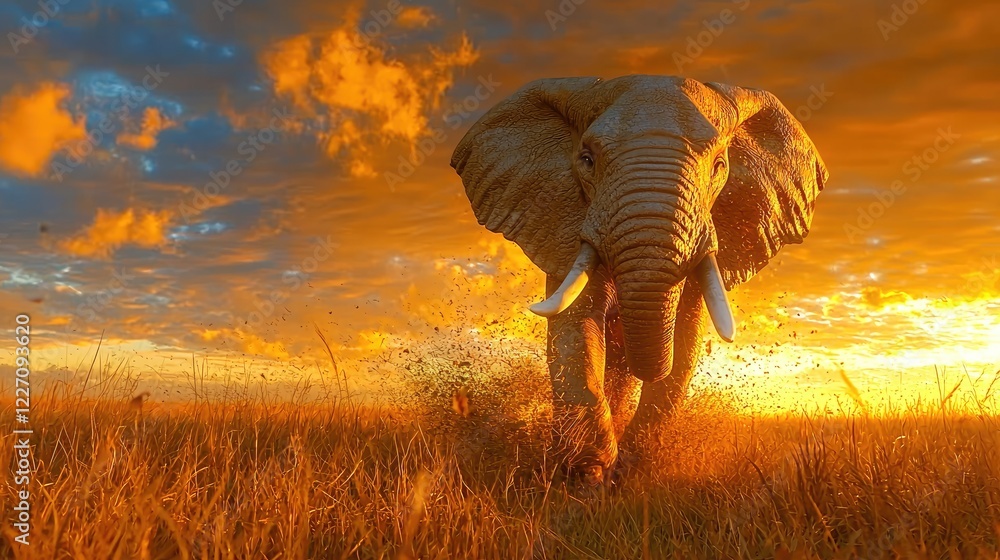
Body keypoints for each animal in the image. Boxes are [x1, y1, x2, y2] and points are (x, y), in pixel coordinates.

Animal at [450, 75, 828, 482]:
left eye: (719, 166)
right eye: (587, 160)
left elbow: (685, 342)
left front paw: (631, 468)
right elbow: (574, 327)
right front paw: (590, 474)